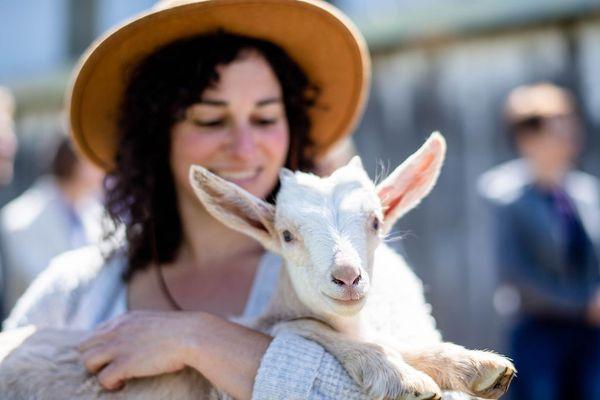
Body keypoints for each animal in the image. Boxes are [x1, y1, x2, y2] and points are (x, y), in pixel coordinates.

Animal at [0, 133, 516, 398]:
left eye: (375, 220)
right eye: (286, 235)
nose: (347, 277)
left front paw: (475, 366)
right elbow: (302, 328)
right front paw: (401, 376)